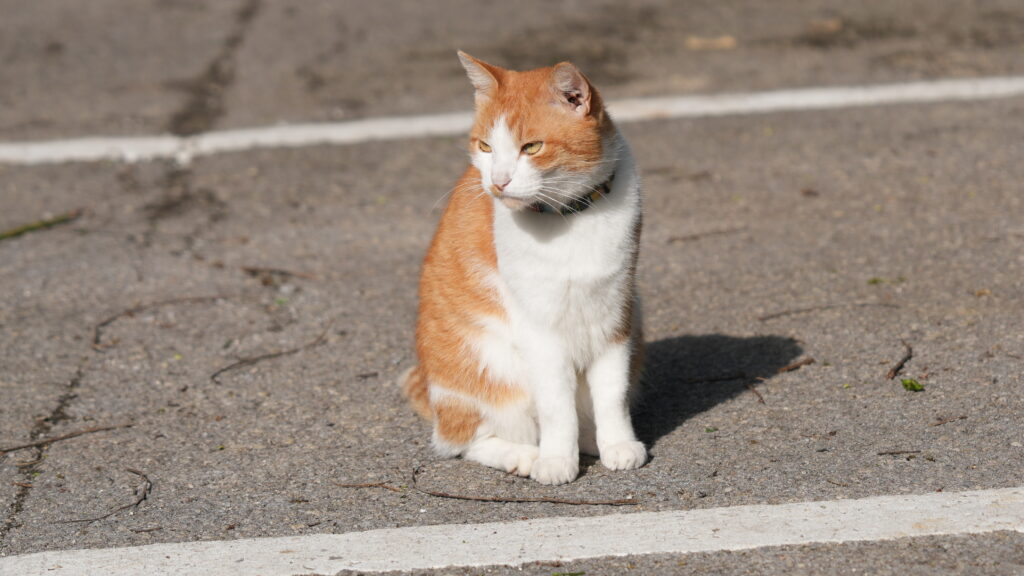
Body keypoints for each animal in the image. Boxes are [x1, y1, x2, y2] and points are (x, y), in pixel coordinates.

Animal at [401, 51, 645, 485]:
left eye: (531, 147)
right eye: (485, 146)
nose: (497, 182)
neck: (571, 218)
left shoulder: (615, 318)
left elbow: (612, 394)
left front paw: (618, 444)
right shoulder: (540, 332)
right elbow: (555, 406)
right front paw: (556, 459)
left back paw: (589, 440)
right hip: (489, 372)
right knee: (464, 440)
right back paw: (524, 455)